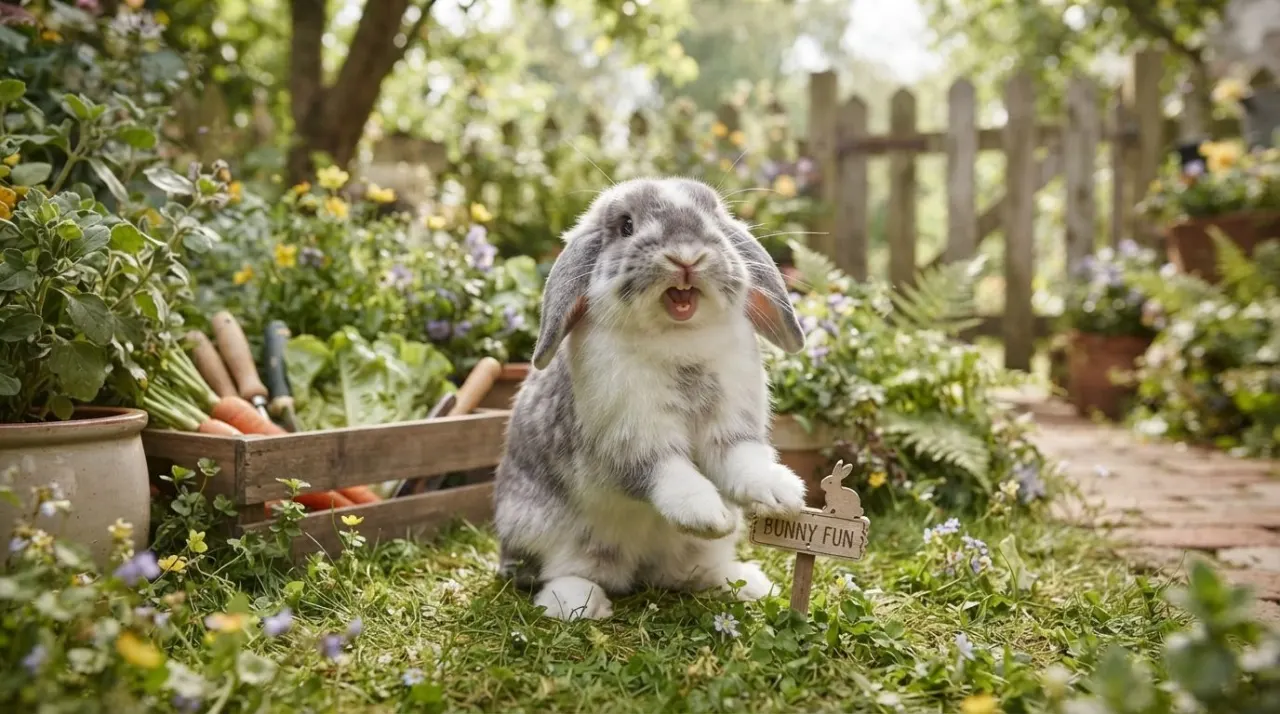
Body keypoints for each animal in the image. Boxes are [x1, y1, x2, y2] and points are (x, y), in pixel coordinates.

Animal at [494, 177, 809, 620]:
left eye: (713, 216)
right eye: (626, 225)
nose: (686, 257)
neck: (678, 339)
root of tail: (638, 567)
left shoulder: (731, 429)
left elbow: (743, 462)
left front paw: (784, 495)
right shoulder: (630, 439)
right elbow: (669, 474)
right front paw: (710, 514)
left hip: (688, 553)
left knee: (686, 573)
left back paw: (746, 583)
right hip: (544, 532)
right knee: (559, 573)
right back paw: (579, 604)